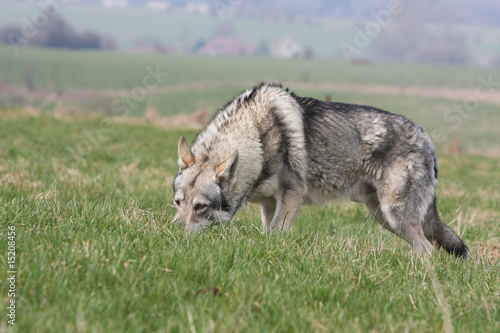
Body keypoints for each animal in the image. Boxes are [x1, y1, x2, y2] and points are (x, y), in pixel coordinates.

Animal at [173, 82, 468, 256]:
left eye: (200, 207)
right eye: (177, 202)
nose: (171, 232)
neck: (257, 134)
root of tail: (426, 139)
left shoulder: (293, 194)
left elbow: (277, 232)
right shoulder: (268, 203)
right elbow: (268, 233)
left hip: (396, 216)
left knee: (428, 251)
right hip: (382, 217)